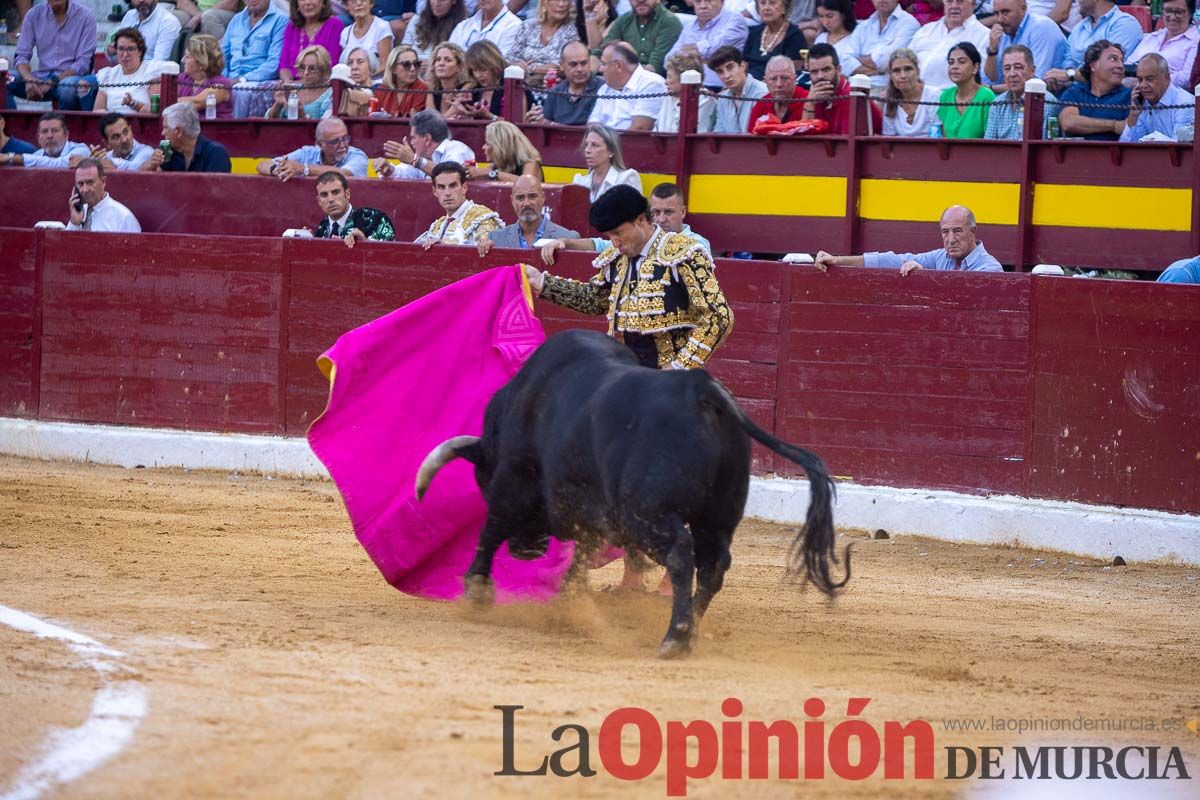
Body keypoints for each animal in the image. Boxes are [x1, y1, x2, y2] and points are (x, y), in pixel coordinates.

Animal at [417, 331, 849, 657]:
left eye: (482, 478)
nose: (529, 550)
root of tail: (701, 389)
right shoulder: (592, 512)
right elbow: (582, 554)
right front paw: (567, 603)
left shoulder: (514, 479)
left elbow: (491, 529)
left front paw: (476, 591)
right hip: (718, 517)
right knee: (713, 565)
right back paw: (689, 629)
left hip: (647, 514)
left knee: (681, 556)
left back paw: (674, 638)